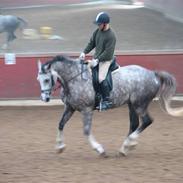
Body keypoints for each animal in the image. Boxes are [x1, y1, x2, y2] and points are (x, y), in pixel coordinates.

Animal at [36, 55, 183, 157]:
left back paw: (128, 144)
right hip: (131, 104)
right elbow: (60, 124)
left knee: (147, 121)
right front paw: (59, 147)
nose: (45, 98)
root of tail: (153, 73)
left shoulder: (86, 109)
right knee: (134, 124)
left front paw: (100, 150)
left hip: (139, 104)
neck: (74, 79)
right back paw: (126, 147)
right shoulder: (70, 108)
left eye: (47, 79)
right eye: (39, 79)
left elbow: (86, 131)